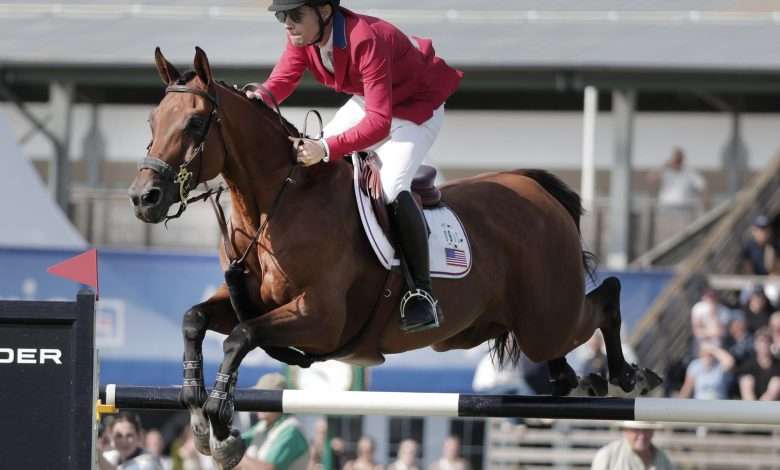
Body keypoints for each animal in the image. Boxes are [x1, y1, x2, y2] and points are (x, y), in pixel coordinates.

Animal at [129, 47, 661, 469]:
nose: (143, 198)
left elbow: (240, 337)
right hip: (518, 324)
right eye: (151, 123)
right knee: (568, 344)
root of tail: (537, 191)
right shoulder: (250, 302)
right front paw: (200, 412)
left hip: (547, 316)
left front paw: (220, 422)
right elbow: (196, 320)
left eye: (196, 123)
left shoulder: (320, 318)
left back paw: (627, 375)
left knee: (605, 299)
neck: (276, 203)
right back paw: (574, 377)